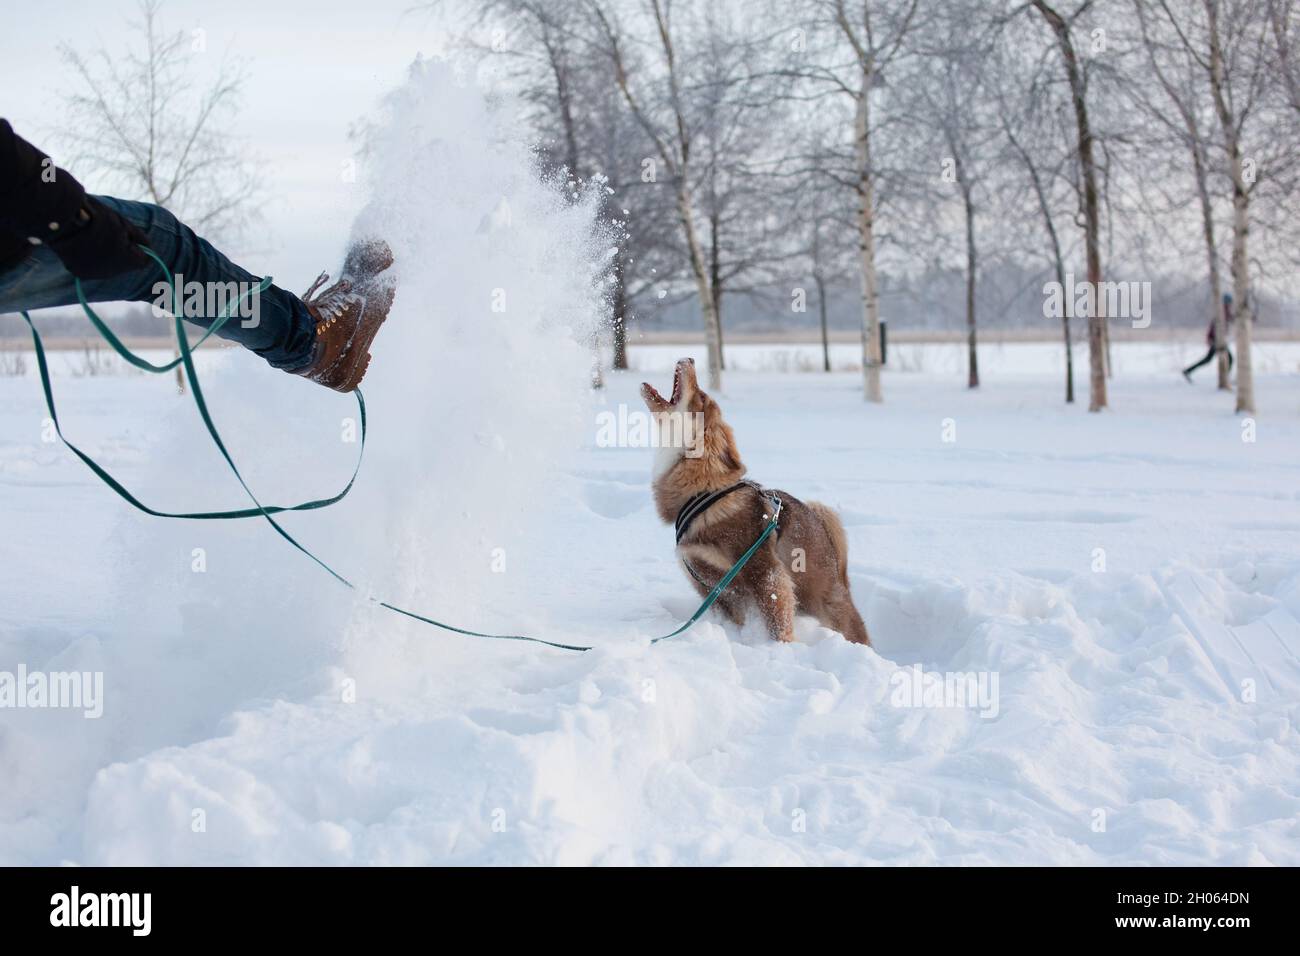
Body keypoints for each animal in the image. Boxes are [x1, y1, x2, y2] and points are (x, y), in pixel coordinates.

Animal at [642, 361, 873, 650]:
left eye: (702, 397)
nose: (691, 359)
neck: (701, 493)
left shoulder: (765, 572)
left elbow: (777, 620)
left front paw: (782, 649)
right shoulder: (710, 587)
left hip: (829, 601)